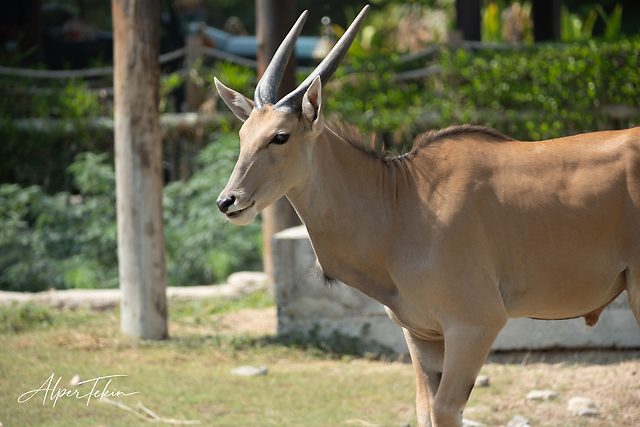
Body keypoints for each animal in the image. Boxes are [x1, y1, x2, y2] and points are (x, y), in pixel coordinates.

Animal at [213, 5, 640, 427]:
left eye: (280, 136)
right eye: (243, 135)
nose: (228, 201)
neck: (400, 202)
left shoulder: (474, 325)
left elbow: (445, 408)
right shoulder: (422, 335)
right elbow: (424, 409)